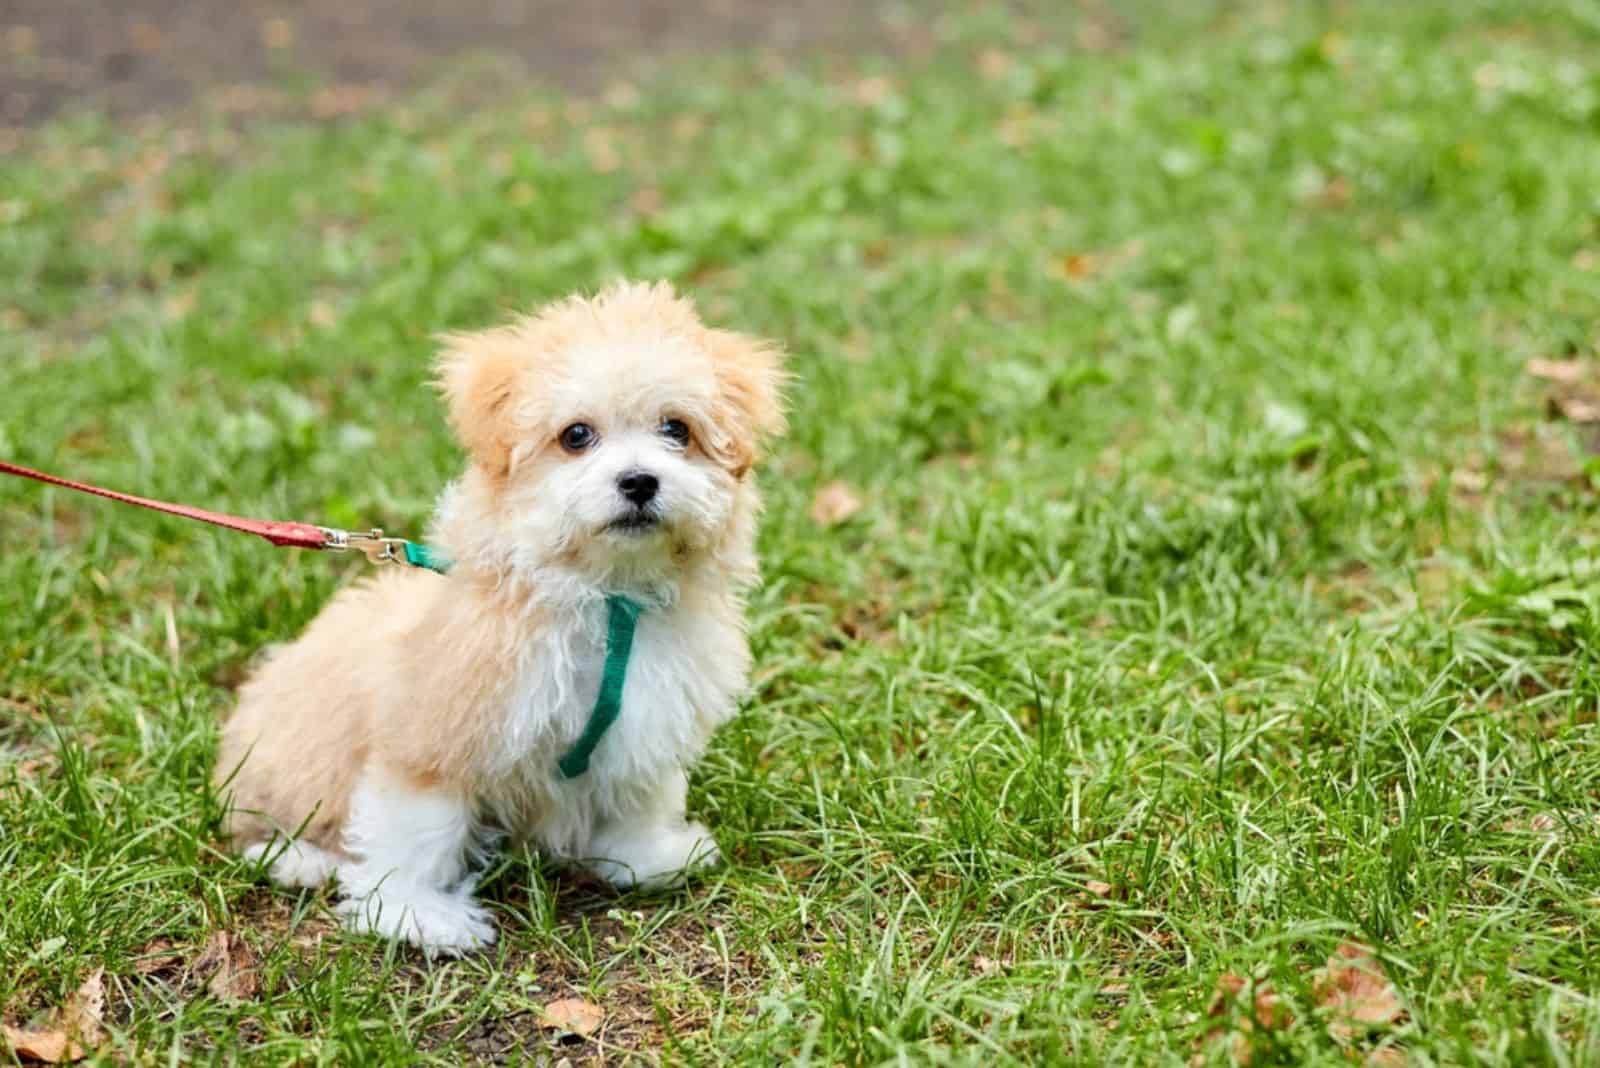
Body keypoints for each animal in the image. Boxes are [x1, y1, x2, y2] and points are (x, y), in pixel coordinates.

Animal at [212, 281, 787, 952]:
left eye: (677, 428)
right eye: (576, 435)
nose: (639, 481)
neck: (604, 597)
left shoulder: (644, 715)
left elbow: (636, 794)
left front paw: (646, 855)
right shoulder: (440, 727)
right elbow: (419, 829)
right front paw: (413, 913)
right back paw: (300, 858)